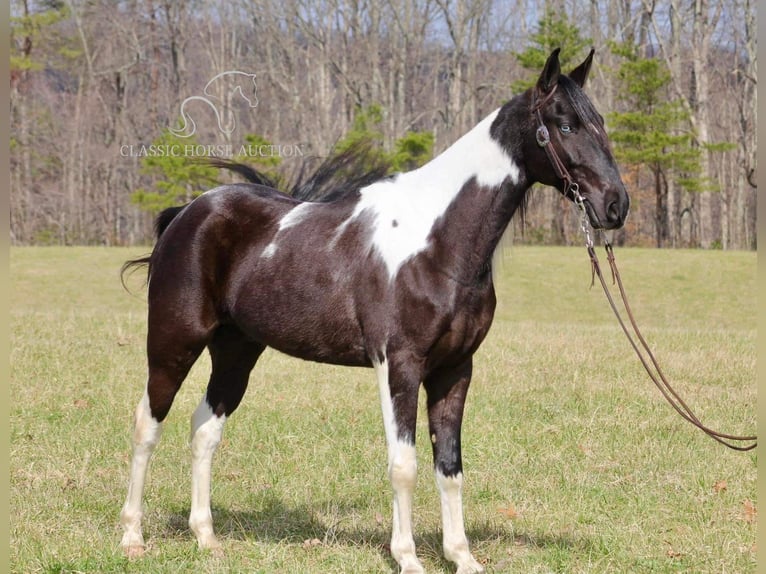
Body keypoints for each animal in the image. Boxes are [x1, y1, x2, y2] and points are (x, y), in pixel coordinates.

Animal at [120, 50, 632, 574]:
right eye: (565, 125)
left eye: (599, 122)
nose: (616, 206)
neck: (438, 239)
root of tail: (187, 213)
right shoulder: (399, 364)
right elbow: (403, 465)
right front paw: (407, 557)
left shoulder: (455, 369)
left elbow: (450, 467)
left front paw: (461, 556)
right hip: (173, 343)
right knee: (147, 424)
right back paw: (133, 537)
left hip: (236, 351)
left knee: (204, 430)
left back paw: (206, 538)